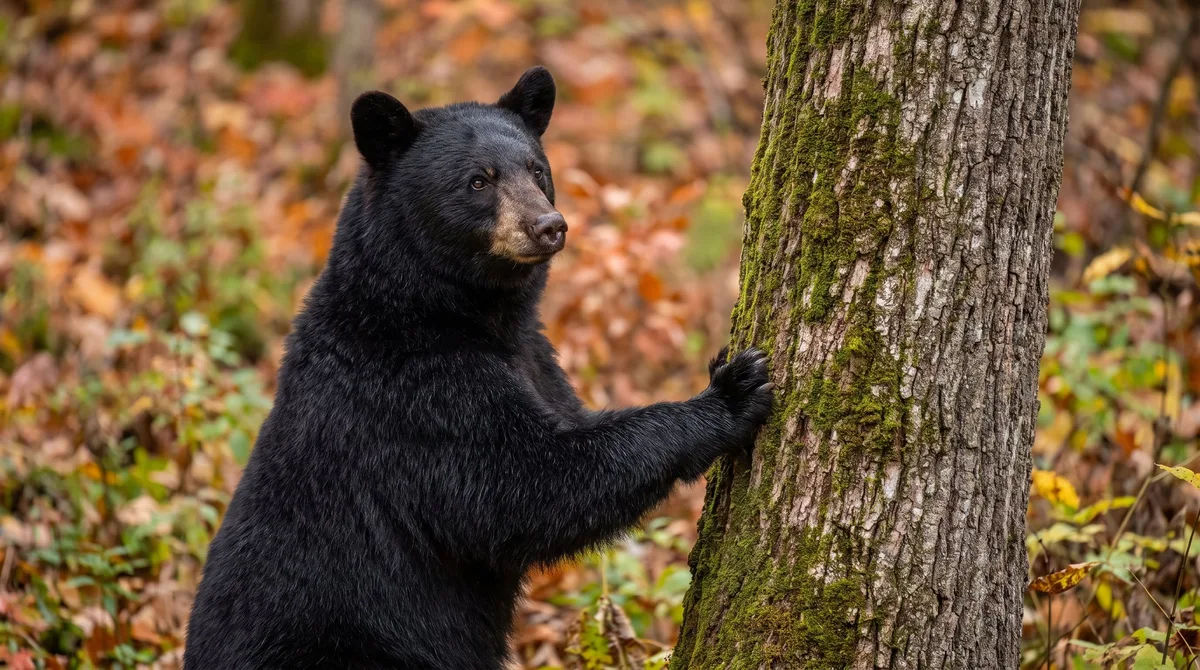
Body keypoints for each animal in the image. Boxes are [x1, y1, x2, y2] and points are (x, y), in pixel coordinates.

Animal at [183, 66, 774, 670]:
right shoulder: (414, 394)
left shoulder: (535, 357)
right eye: (477, 181)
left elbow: (572, 425)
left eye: (537, 170)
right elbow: (528, 482)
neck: (442, 310)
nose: (549, 225)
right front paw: (731, 391)